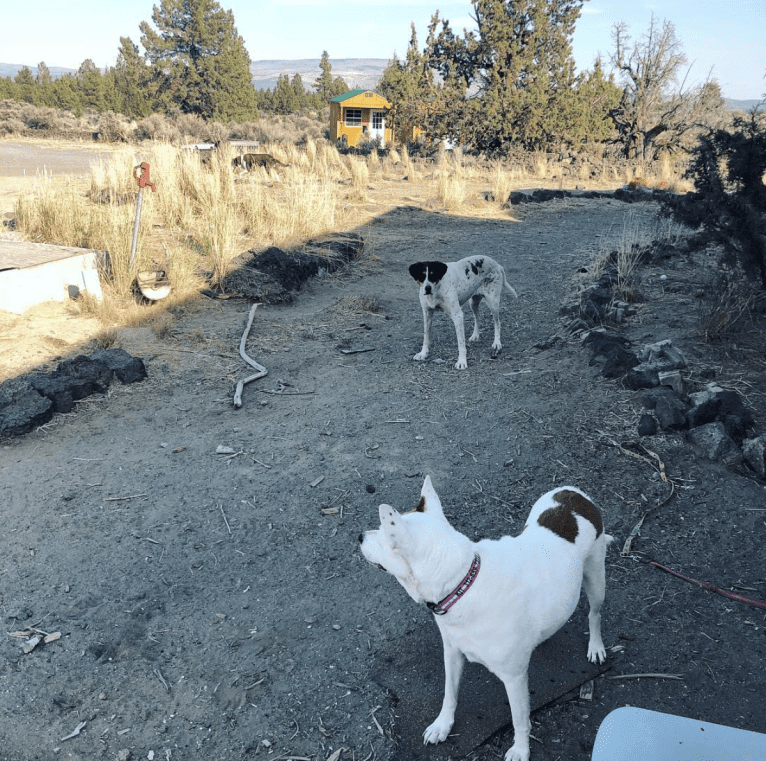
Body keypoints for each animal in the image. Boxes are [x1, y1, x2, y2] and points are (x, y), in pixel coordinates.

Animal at [360, 476, 612, 760]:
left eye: (383, 536)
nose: (359, 536)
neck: (461, 583)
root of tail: (573, 493)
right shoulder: (452, 653)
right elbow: (449, 694)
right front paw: (442, 725)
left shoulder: (514, 679)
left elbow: (520, 719)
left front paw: (520, 749)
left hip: (596, 579)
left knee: (594, 614)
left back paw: (596, 646)